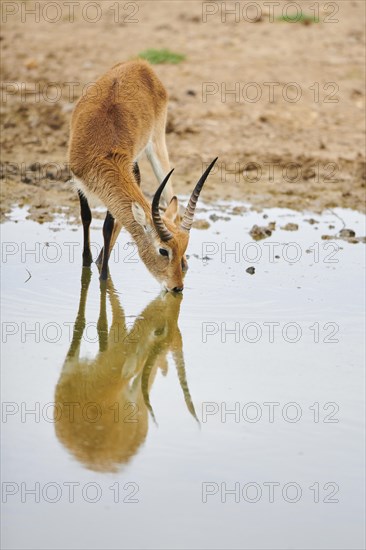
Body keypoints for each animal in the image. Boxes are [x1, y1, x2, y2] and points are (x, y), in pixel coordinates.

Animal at [68, 59, 217, 294]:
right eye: (163, 250)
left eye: (182, 247)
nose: (177, 288)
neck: (101, 150)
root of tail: (140, 64)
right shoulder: (78, 181)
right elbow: (86, 217)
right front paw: (90, 267)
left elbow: (107, 226)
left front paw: (103, 276)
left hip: (157, 146)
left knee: (170, 196)